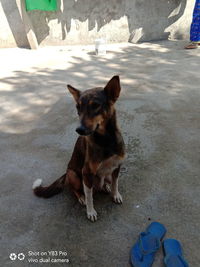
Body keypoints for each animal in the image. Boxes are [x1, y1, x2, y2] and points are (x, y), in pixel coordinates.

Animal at [33, 75, 125, 222]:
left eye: (95, 105)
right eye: (78, 107)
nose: (79, 130)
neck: (106, 140)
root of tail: (65, 173)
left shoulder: (117, 166)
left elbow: (115, 184)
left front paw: (115, 195)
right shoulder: (86, 173)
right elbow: (89, 196)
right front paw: (90, 211)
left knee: (106, 181)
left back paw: (105, 186)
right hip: (73, 174)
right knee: (75, 190)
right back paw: (81, 197)